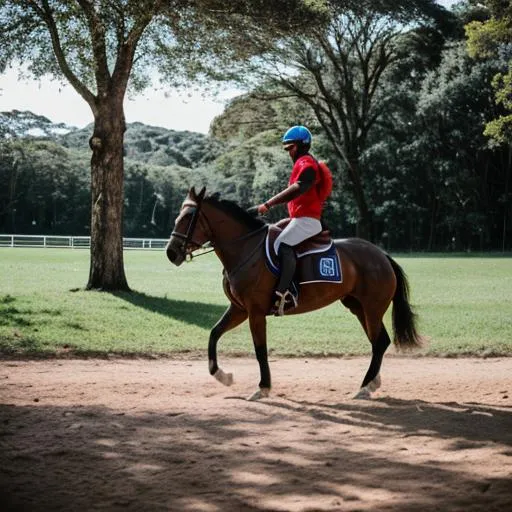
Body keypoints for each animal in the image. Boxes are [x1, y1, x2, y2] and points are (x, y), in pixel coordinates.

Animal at [166, 187, 422, 400]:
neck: (245, 248)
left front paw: (263, 387)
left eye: (188, 217)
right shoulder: (239, 309)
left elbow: (260, 350)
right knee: (379, 341)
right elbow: (214, 334)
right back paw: (372, 383)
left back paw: (365, 386)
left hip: (372, 309)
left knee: (379, 343)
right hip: (359, 308)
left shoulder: (255, 312)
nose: (171, 252)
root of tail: (382, 255)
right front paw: (222, 375)